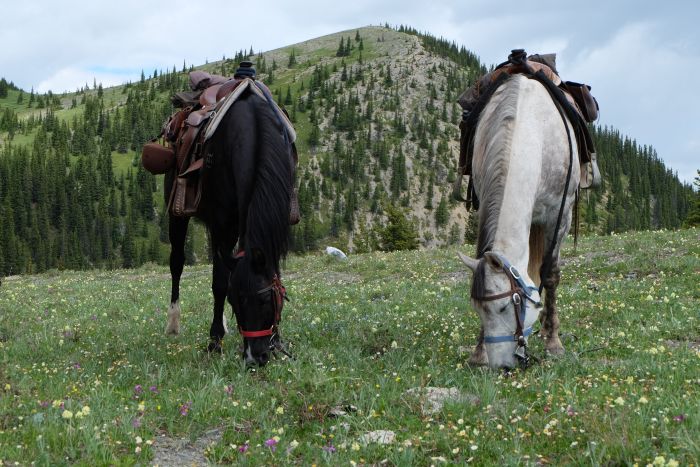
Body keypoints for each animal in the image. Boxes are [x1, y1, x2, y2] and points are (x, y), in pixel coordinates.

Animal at [165, 89, 296, 368]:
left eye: (264, 299)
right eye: (235, 301)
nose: (255, 357)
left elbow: (275, 275)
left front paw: (278, 339)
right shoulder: (223, 223)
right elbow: (219, 284)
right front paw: (214, 341)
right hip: (176, 213)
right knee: (176, 263)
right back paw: (173, 323)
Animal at [460, 70, 580, 370]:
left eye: (505, 307)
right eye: (478, 309)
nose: (501, 367)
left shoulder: (559, 214)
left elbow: (550, 275)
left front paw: (554, 343)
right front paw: (478, 352)